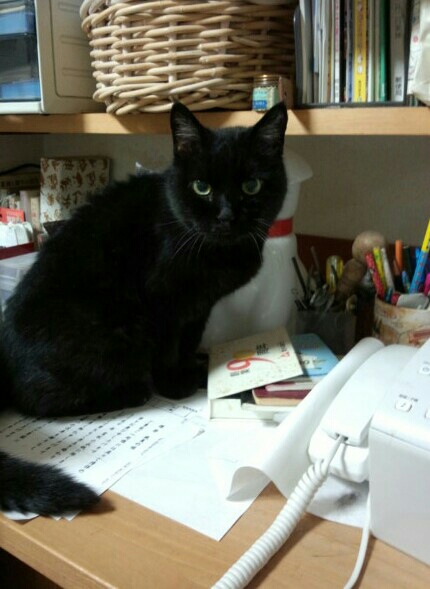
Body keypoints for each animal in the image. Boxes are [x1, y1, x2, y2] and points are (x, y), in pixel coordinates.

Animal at [0, 101, 288, 515]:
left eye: (252, 186)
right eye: (202, 187)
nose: (226, 216)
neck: (216, 251)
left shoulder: (198, 308)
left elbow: (188, 341)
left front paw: (197, 367)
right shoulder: (163, 301)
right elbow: (168, 349)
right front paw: (176, 384)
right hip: (117, 333)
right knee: (37, 400)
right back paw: (132, 392)